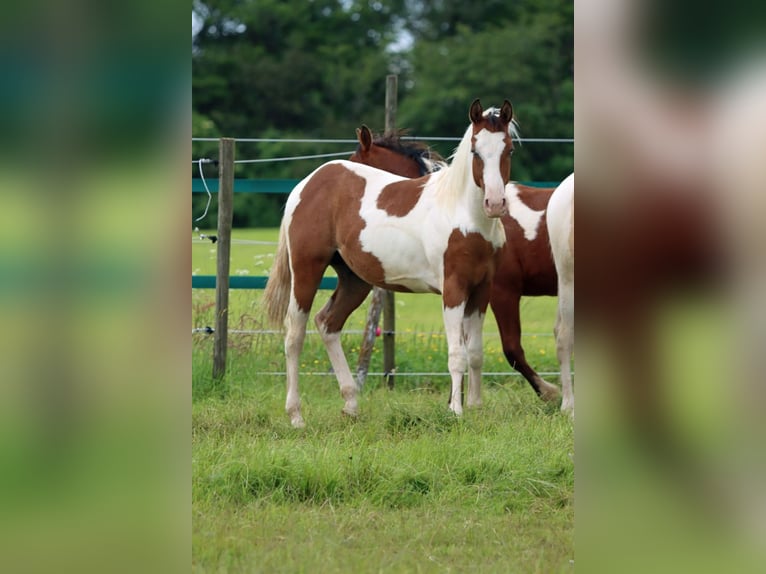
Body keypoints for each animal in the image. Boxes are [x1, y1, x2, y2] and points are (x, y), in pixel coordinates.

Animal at [264, 101, 516, 430]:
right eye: (475, 151)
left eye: (508, 149)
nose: (495, 203)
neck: (464, 215)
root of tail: (307, 185)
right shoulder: (453, 290)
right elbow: (457, 354)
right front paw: (456, 412)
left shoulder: (481, 290)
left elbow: (474, 352)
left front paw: (475, 407)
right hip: (307, 269)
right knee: (294, 334)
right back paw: (296, 416)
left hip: (355, 281)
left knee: (328, 323)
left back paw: (351, 405)